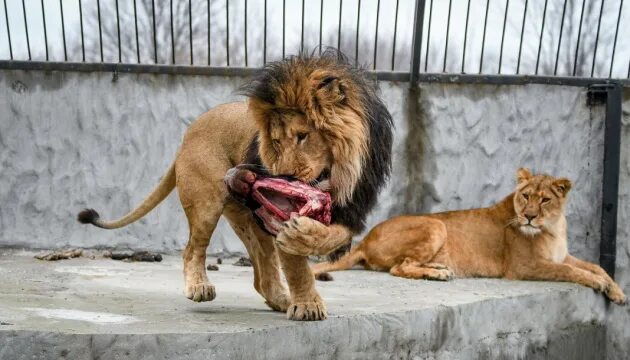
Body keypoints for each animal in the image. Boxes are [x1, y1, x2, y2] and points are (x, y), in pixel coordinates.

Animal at [78, 50, 396, 320]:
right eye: (276, 142)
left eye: (303, 136)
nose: (284, 176)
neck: (338, 176)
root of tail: (189, 132)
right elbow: (296, 266)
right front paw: (307, 304)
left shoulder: (355, 208)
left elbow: (335, 235)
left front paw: (303, 235)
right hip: (208, 202)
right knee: (192, 249)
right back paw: (200, 286)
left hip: (246, 217)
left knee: (261, 276)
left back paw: (281, 299)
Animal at [314, 167, 628, 306]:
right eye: (526, 196)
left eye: (545, 199)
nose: (529, 216)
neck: (552, 227)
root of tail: (365, 240)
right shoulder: (525, 266)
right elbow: (572, 272)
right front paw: (601, 285)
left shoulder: (561, 254)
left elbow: (595, 266)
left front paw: (618, 292)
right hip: (435, 225)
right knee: (399, 268)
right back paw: (438, 274)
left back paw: (439, 268)